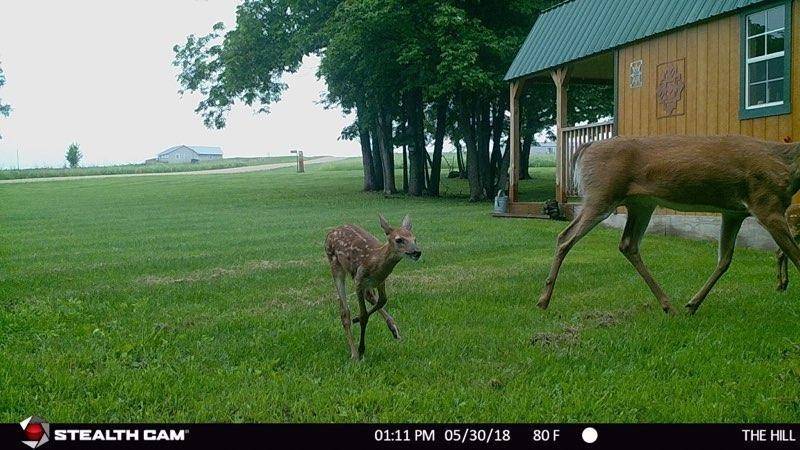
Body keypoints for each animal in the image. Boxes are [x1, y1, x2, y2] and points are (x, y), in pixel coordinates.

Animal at [324, 214, 422, 358]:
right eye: (399, 239)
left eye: (414, 238)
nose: (417, 252)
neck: (375, 262)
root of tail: (330, 233)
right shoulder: (359, 280)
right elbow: (364, 315)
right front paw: (361, 349)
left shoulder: (380, 281)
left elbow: (382, 300)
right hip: (335, 264)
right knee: (344, 311)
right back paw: (354, 354)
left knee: (369, 295)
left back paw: (393, 329)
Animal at [536, 135, 800, 314]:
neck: (788, 164)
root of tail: (586, 147)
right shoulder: (767, 203)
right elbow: (795, 254)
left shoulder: (733, 212)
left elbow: (724, 260)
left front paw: (692, 304)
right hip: (602, 195)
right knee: (565, 237)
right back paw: (543, 300)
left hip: (641, 204)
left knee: (627, 244)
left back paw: (668, 306)